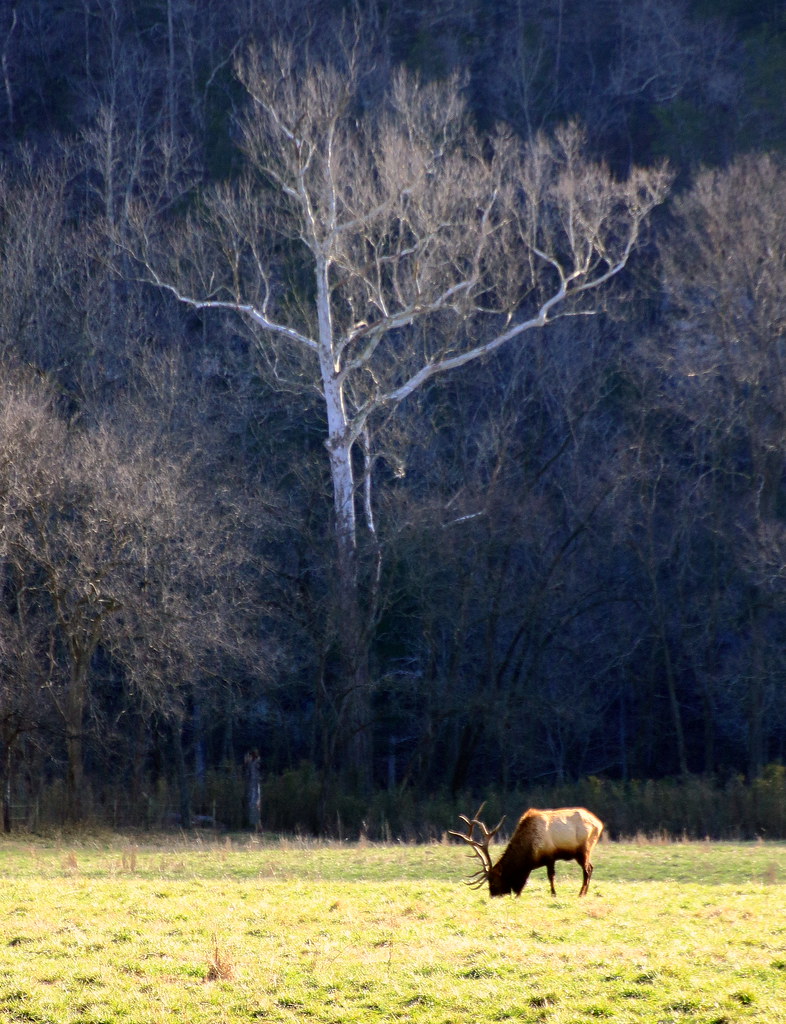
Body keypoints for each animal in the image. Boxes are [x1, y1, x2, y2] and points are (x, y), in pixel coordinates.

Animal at [449, 803, 604, 898]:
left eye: (493, 881)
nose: (493, 896)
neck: (529, 853)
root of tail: (599, 823)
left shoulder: (550, 856)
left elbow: (550, 877)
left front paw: (553, 894)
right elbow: (526, 880)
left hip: (584, 849)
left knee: (587, 870)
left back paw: (581, 894)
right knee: (591, 867)